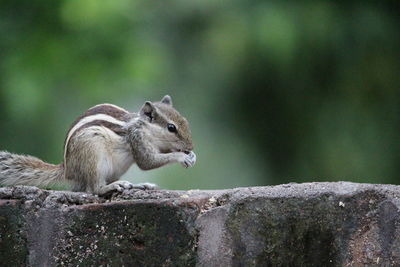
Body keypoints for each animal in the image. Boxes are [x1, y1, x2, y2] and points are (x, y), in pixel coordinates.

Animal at [0, 95, 195, 196]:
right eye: (171, 128)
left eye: (185, 121)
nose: (191, 147)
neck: (144, 128)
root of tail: (68, 170)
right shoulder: (137, 139)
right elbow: (147, 162)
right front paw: (182, 156)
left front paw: (191, 156)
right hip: (93, 153)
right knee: (93, 189)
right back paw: (111, 187)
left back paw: (137, 185)